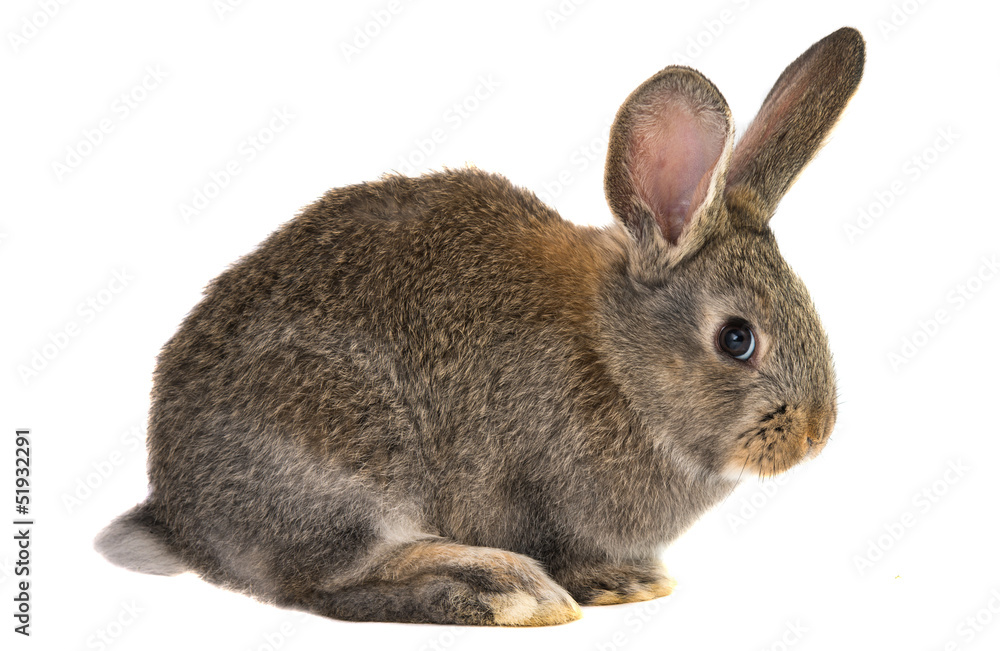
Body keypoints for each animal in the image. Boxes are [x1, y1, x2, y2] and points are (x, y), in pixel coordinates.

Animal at [96, 27, 864, 626]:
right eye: (737, 339)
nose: (815, 433)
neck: (616, 361)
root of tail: (179, 517)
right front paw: (611, 583)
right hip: (345, 443)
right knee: (330, 582)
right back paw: (503, 589)